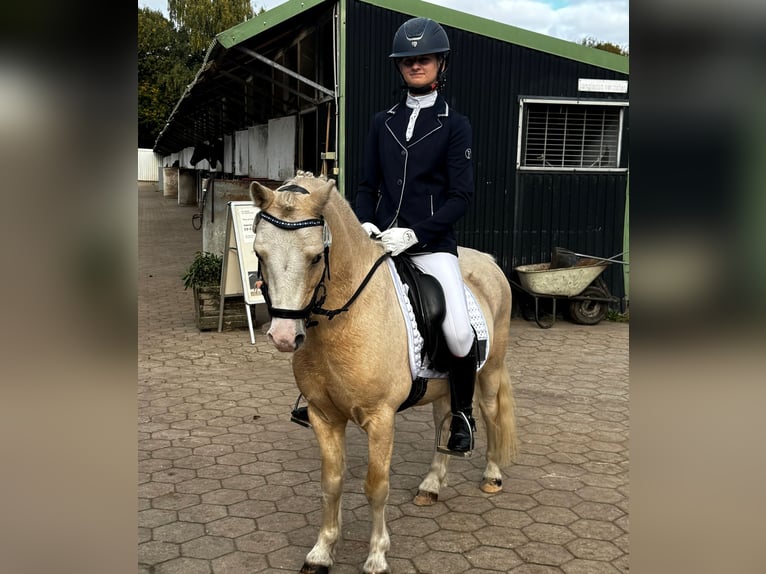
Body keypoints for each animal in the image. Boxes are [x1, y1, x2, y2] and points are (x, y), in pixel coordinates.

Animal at [250, 171, 518, 574]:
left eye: (315, 258)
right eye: (260, 253)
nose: (283, 336)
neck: (343, 319)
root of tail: (486, 260)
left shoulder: (380, 418)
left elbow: (375, 486)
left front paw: (376, 556)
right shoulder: (323, 416)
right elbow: (331, 483)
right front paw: (321, 552)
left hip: (489, 371)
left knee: (489, 414)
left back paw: (492, 476)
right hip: (443, 385)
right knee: (444, 419)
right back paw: (431, 485)